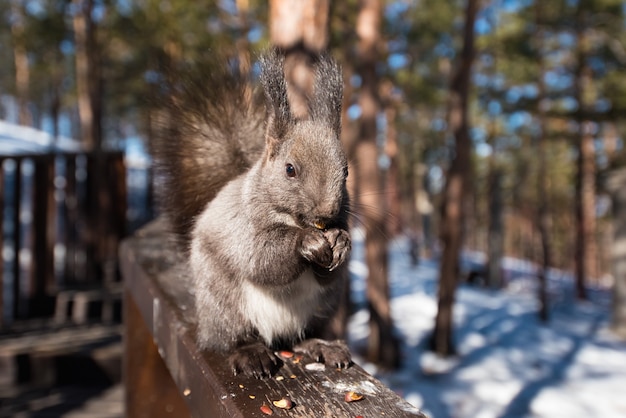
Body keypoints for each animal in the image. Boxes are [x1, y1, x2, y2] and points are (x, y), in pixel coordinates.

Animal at [152, 49, 352, 378]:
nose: (326, 213)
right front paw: (306, 242)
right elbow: (260, 258)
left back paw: (322, 345)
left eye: (346, 172)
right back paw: (251, 354)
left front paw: (341, 242)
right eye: (289, 169)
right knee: (234, 338)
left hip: (323, 308)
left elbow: (328, 273)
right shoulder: (242, 228)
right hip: (224, 305)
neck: (293, 219)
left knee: (300, 337)